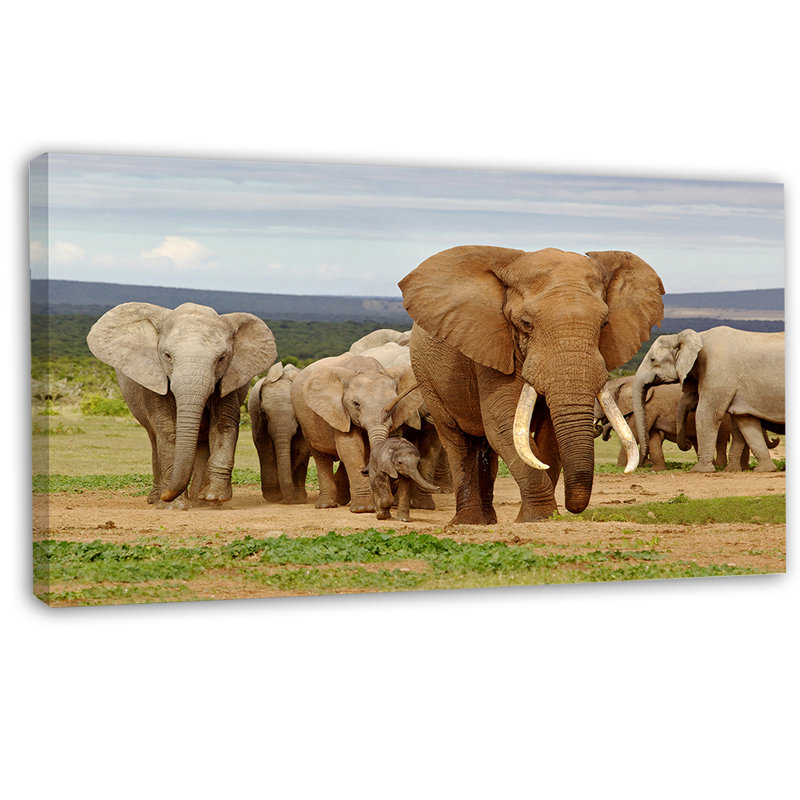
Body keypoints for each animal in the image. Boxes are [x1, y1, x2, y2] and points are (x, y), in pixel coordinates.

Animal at [87, 302, 277, 507]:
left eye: (221, 358)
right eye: (167, 356)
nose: (166, 495)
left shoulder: (229, 379)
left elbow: (223, 425)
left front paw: (214, 498)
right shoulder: (154, 378)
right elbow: (168, 429)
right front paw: (174, 506)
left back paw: (198, 500)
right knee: (154, 437)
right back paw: (157, 499)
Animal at [248, 362, 310, 503]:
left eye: (295, 415)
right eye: (264, 413)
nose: (289, 499)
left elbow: (300, 448)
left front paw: (297, 499)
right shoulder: (257, 415)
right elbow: (263, 445)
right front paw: (273, 496)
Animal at [290, 353, 424, 512]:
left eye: (394, 403)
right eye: (356, 404)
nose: (366, 471)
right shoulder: (341, 411)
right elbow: (351, 449)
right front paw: (363, 508)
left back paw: (342, 499)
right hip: (306, 422)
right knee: (321, 456)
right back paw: (325, 505)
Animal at [398, 246, 665, 524]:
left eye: (604, 324)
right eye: (526, 323)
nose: (572, 508)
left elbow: (549, 433)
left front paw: (538, 518)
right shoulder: (493, 345)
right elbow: (503, 423)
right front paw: (539, 517)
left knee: (485, 447)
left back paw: (489, 521)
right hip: (426, 377)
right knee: (457, 440)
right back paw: (468, 522)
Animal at [633, 327, 785, 473]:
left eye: (652, 360)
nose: (688, 443)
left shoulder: (716, 374)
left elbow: (706, 414)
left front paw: (699, 470)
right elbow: (746, 422)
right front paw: (763, 470)